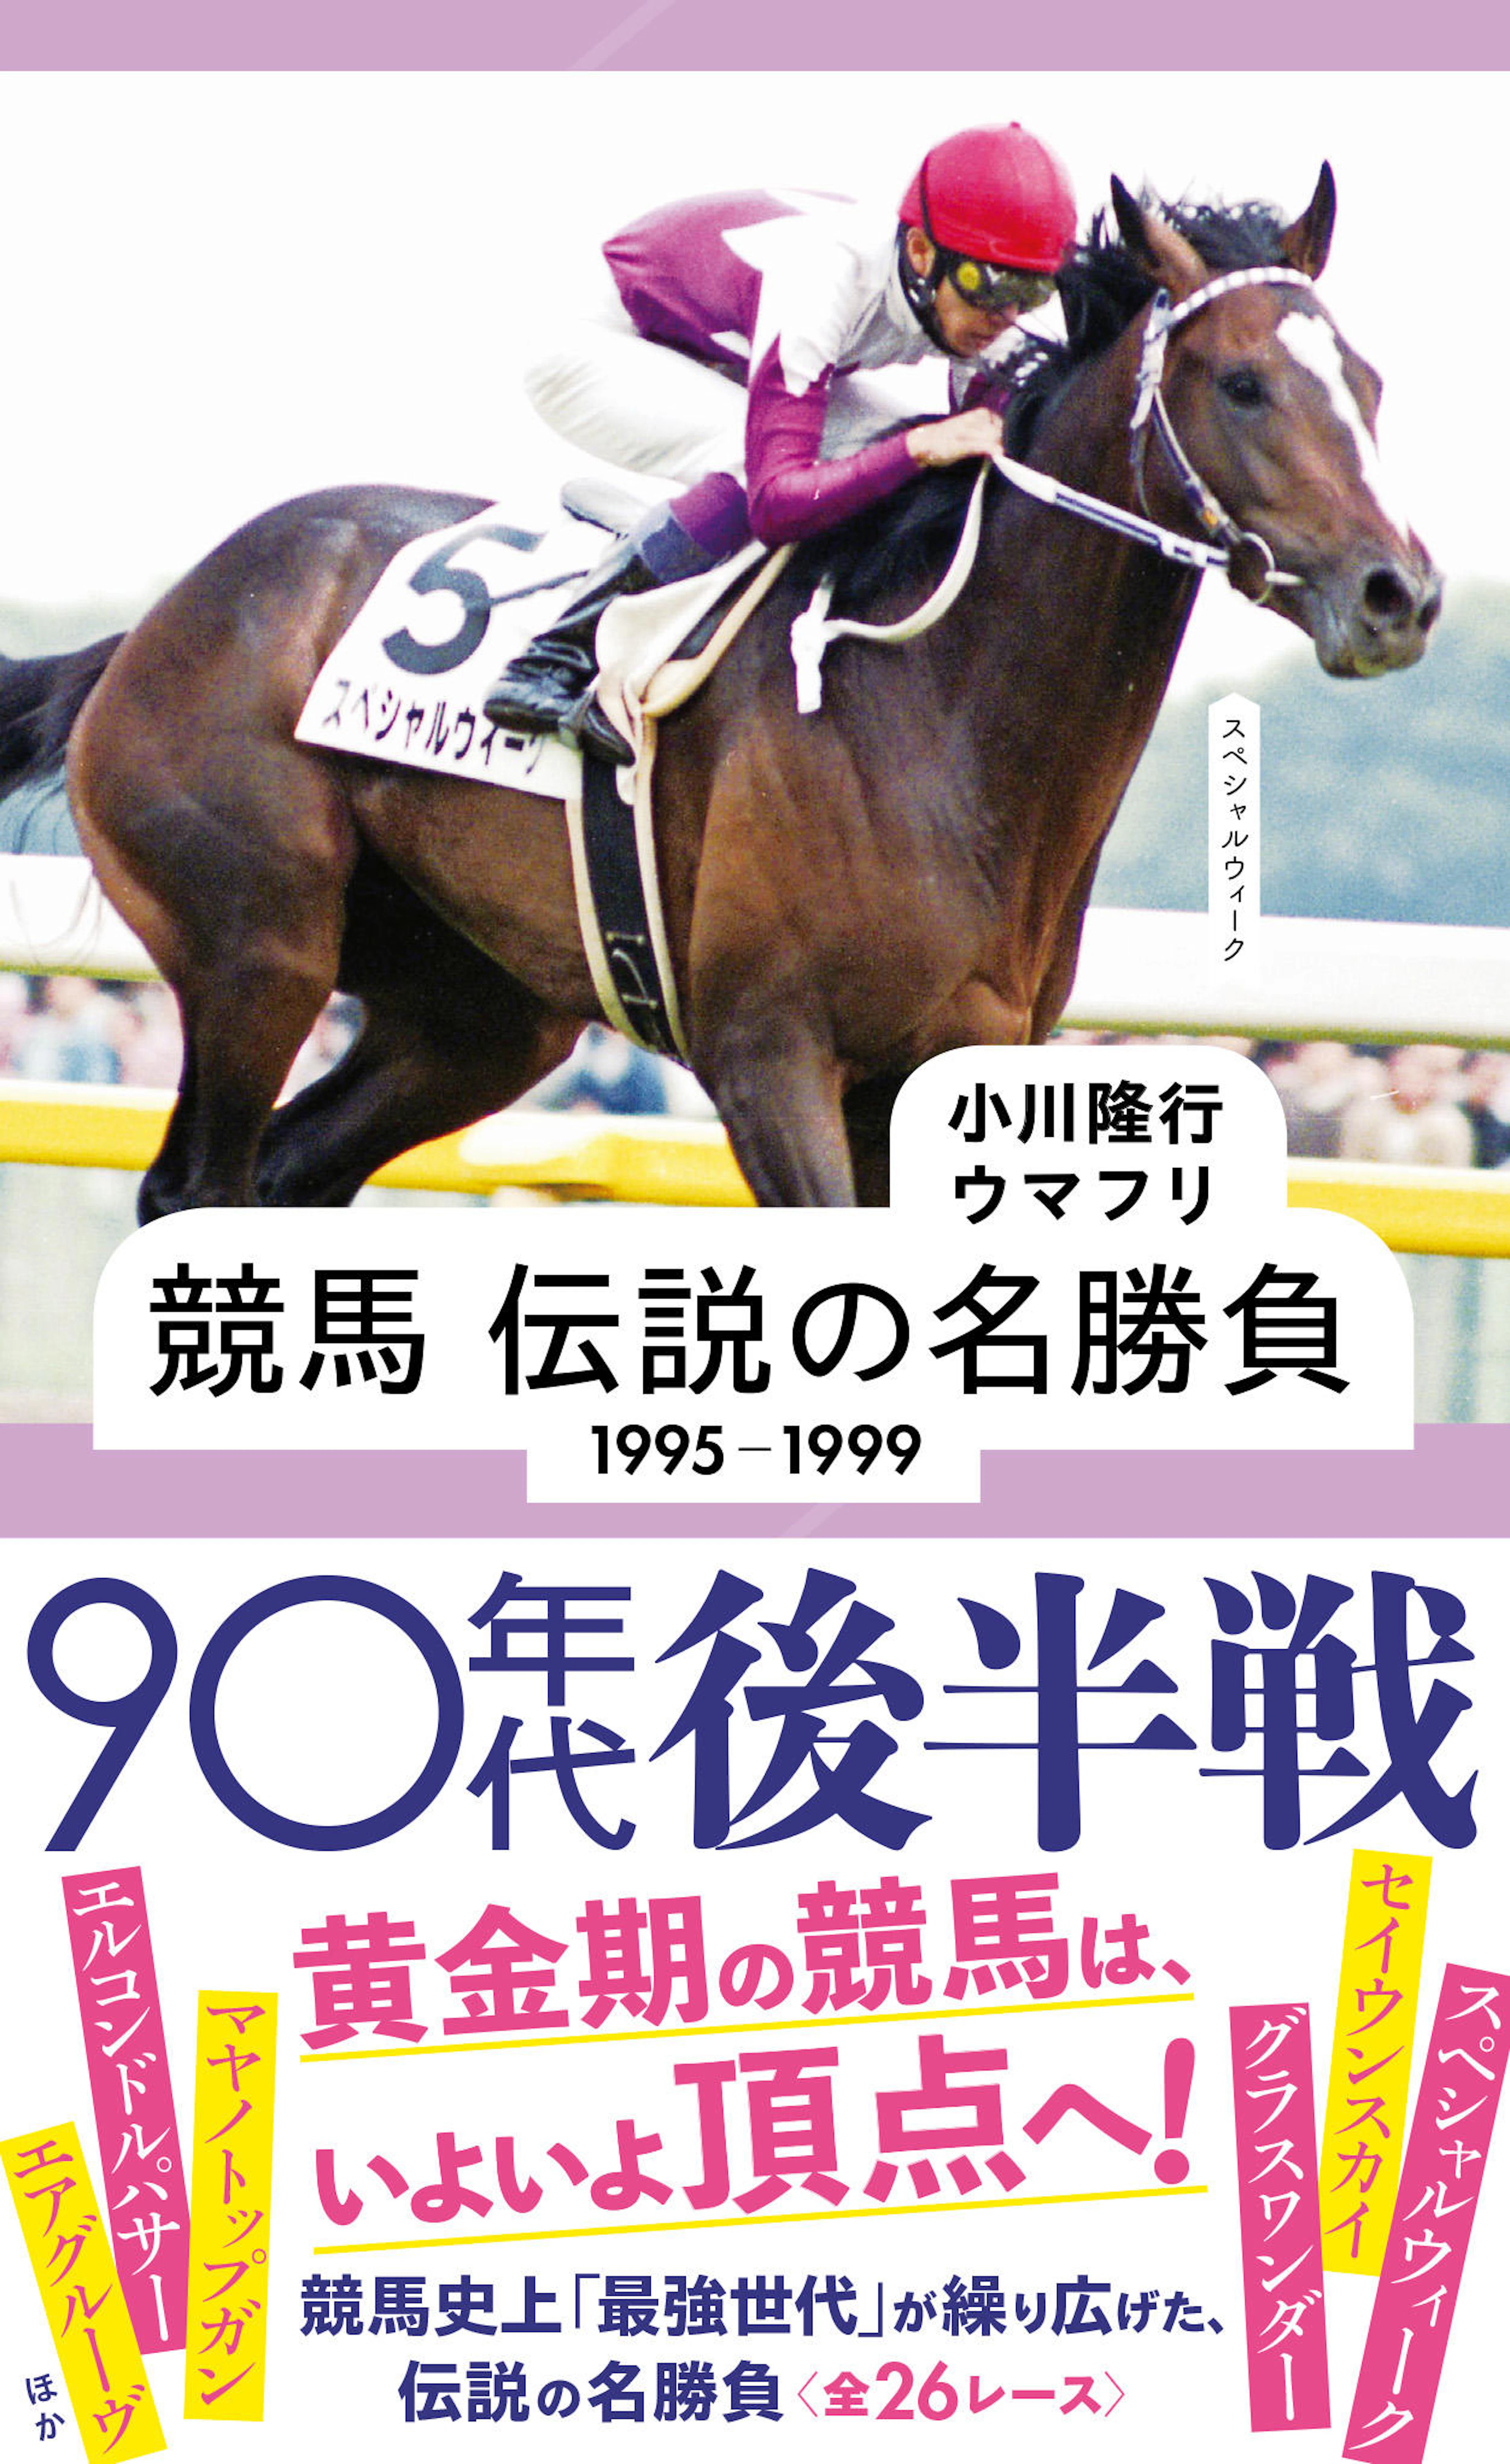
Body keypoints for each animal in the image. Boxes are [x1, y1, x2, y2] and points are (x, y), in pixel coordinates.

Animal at [14, 169, 1439, 1211]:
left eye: (1368, 385)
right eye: (1244, 383)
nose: (1400, 594)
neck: (939, 718)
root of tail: (153, 626)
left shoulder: (938, 1072)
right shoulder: (770, 1055)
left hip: (475, 1009)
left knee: (292, 1175)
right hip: (258, 949)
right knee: (195, 1188)